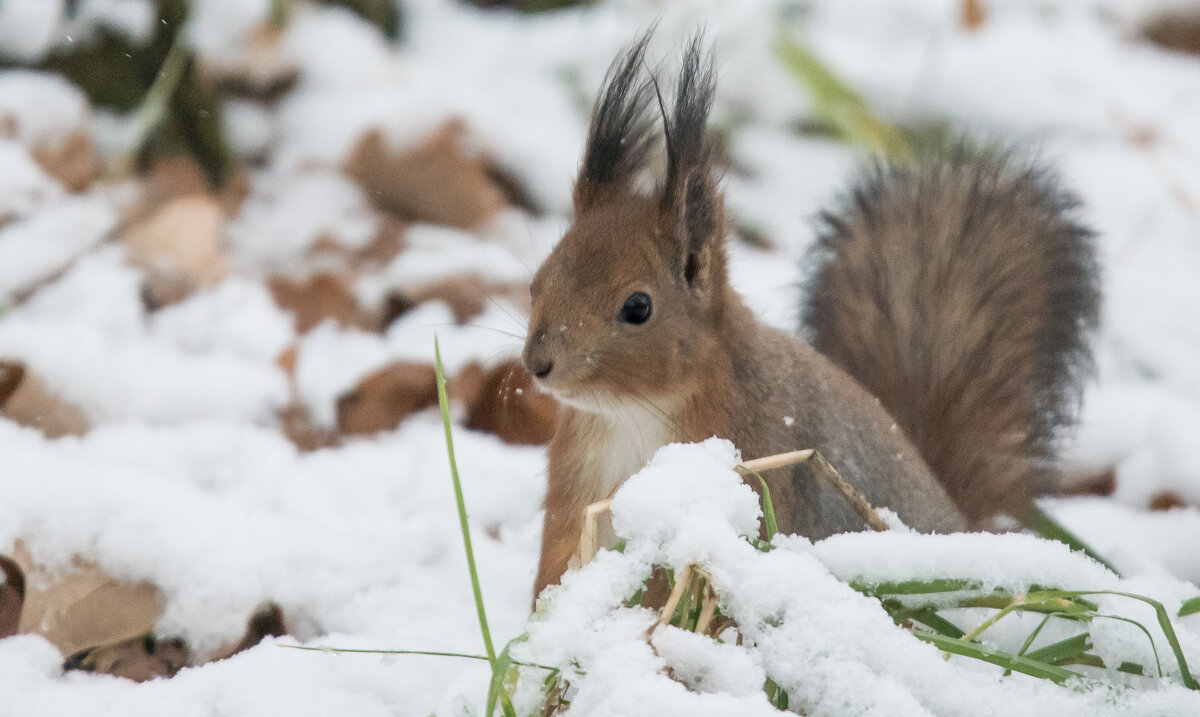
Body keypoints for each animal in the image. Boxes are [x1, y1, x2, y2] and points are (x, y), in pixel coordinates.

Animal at [520, 36, 1099, 604]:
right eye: (537, 282)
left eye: (637, 307)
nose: (537, 363)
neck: (633, 414)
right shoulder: (580, 490)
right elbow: (563, 564)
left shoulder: (757, 468)